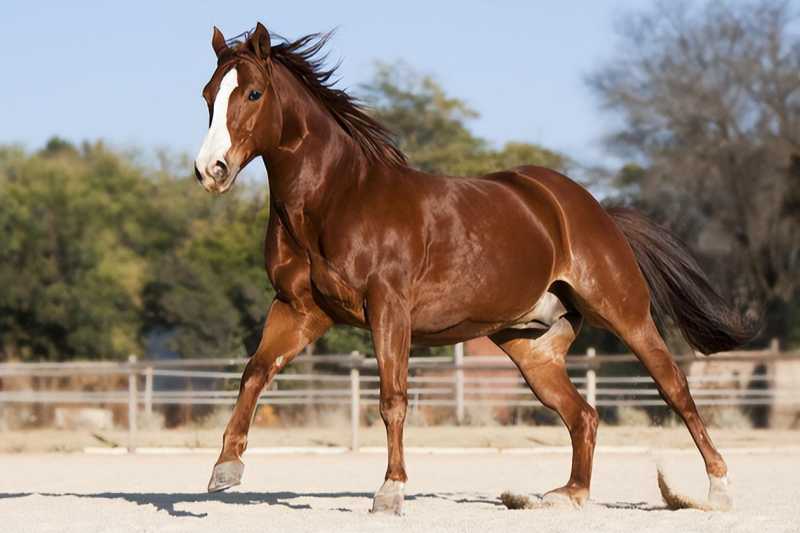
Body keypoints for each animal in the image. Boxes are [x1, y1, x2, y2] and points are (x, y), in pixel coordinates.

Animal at [193, 23, 755, 514]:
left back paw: (719, 491)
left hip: (626, 314)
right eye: (208, 95)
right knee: (584, 415)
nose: (210, 170)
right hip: (530, 348)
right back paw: (567, 496)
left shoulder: (387, 309)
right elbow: (255, 371)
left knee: (674, 389)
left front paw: (391, 493)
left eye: (253, 94)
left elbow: (392, 398)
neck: (337, 198)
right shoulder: (300, 309)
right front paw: (225, 469)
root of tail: (590, 209)